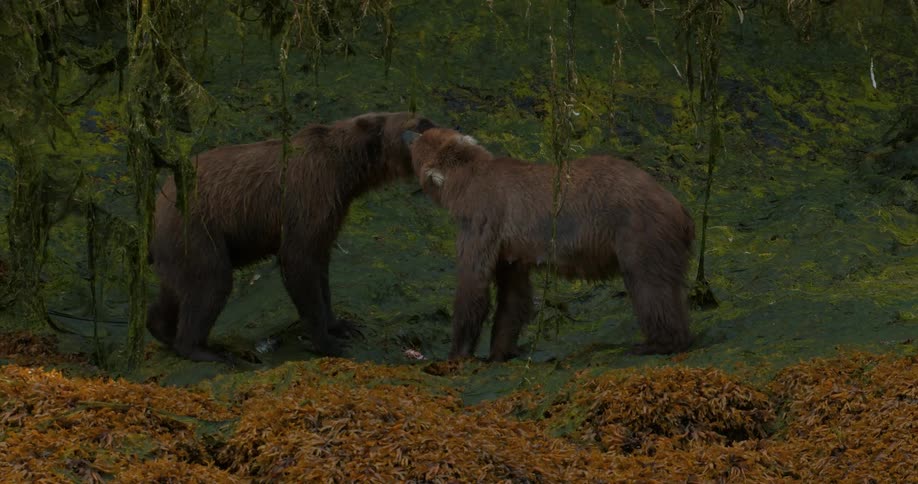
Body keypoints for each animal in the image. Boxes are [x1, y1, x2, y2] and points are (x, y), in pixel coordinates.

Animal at [147, 111, 437, 363]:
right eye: (420, 124)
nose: (436, 126)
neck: (347, 170)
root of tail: (159, 198)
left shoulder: (333, 209)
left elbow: (320, 266)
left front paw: (342, 325)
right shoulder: (308, 197)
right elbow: (299, 262)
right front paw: (328, 342)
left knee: (177, 287)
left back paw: (161, 329)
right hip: (198, 228)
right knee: (211, 281)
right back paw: (206, 350)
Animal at [402, 127, 695, 361]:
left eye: (419, 142)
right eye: (426, 132)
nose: (407, 132)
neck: (463, 186)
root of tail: (678, 206)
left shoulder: (482, 220)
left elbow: (473, 283)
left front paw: (457, 353)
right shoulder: (510, 247)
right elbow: (513, 296)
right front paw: (500, 350)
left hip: (637, 229)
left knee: (649, 284)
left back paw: (656, 343)